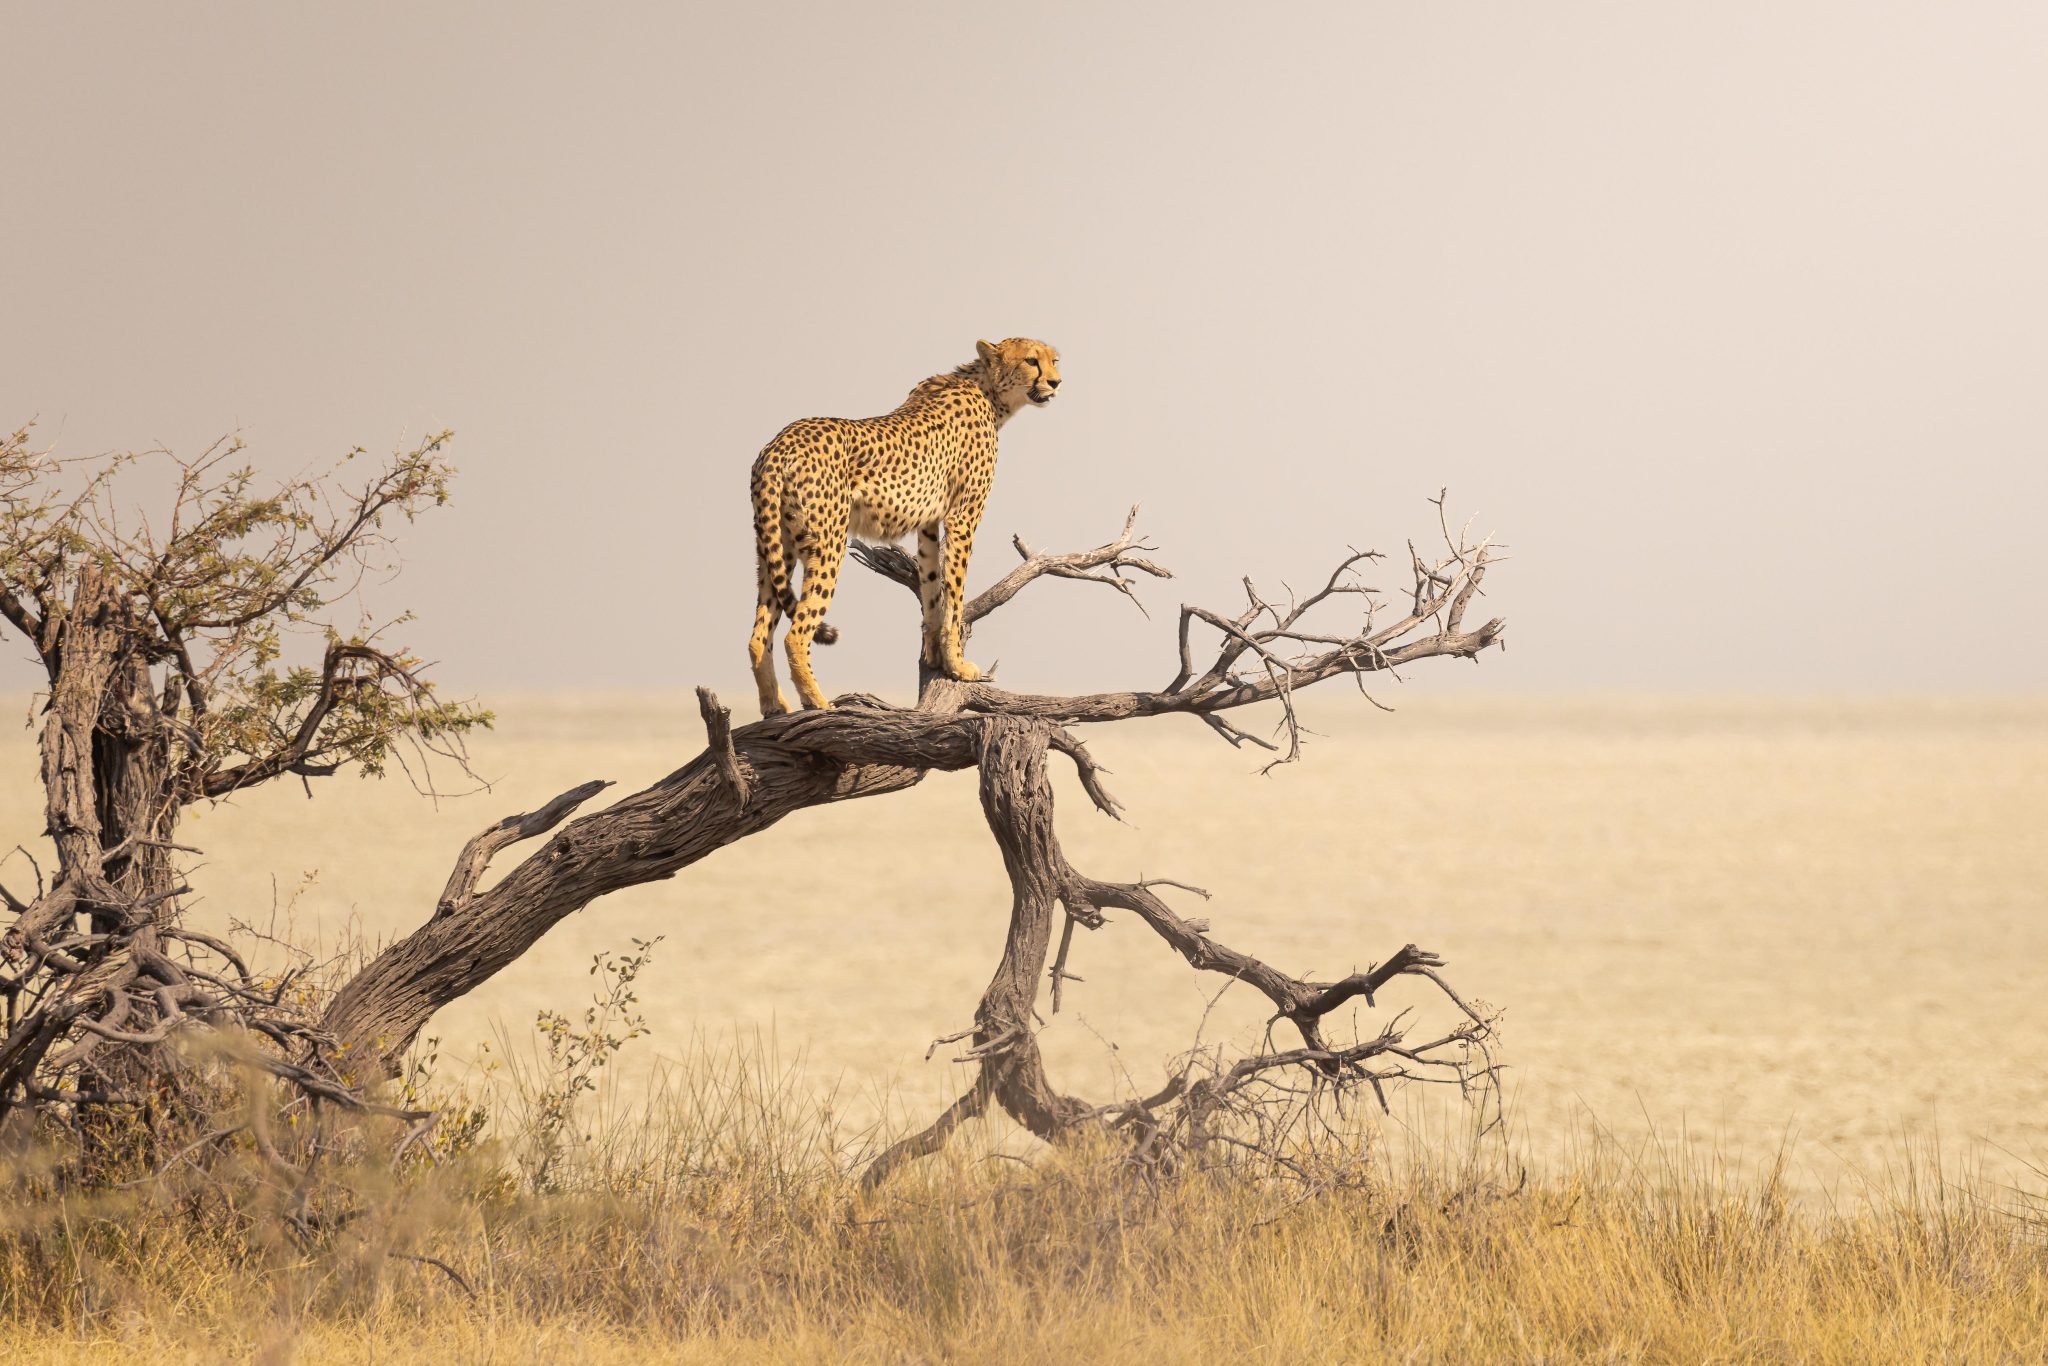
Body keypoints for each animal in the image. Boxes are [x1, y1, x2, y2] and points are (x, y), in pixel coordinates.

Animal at [749, 339, 1064, 716]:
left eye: (1055, 360)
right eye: (1032, 361)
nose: (1057, 382)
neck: (988, 391)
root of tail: (779, 444)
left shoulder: (928, 523)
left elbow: (932, 588)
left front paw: (935, 656)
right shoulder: (963, 516)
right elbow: (955, 594)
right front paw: (959, 665)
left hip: (775, 548)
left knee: (757, 637)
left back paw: (773, 704)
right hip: (828, 544)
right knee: (795, 633)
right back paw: (817, 702)